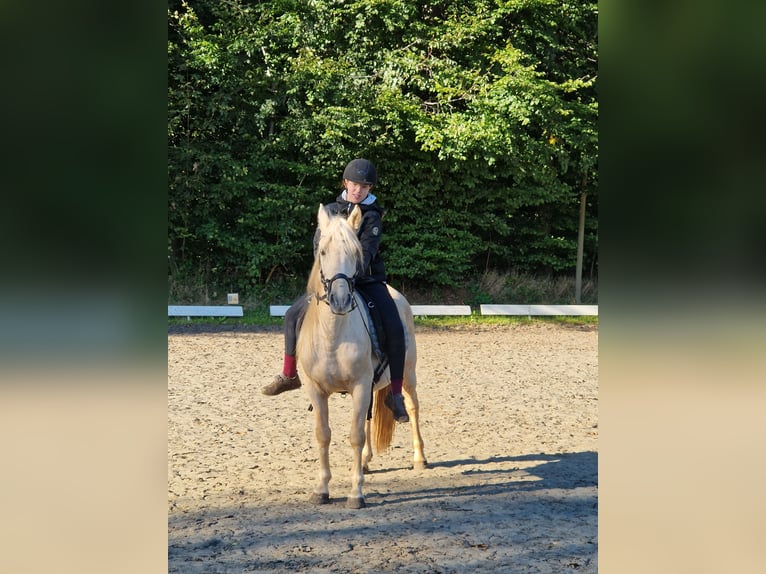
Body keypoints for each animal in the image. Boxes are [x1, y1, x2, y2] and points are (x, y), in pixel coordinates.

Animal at [296, 205, 428, 510]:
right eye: (322, 251)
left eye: (354, 254)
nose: (340, 300)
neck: (332, 335)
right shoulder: (316, 389)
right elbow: (323, 434)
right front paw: (321, 489)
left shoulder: (359, 385)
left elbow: (354, 435)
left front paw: (356, 493)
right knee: (367, 418)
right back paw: (366, 462)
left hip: (408, 374)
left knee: (413, 408)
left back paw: (419, 458)